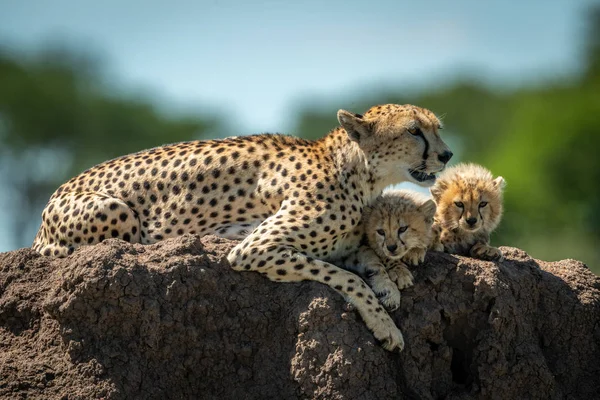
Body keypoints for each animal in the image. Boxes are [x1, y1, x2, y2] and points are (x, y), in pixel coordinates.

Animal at [32, 104, 450, 352]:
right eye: (414, 131)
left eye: (437, 128)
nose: (447, 154)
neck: (358, 171)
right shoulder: (255, 247)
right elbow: (346, 278)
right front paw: (385, 325)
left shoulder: (342, 243)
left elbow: (367, 259)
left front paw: (393, 280)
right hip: (116, 210)